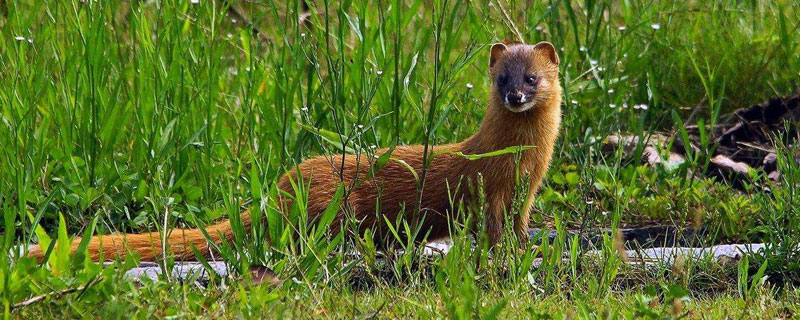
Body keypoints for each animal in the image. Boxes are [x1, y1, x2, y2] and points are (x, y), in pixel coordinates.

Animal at [29, 41, 564, 262]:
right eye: (501, 78)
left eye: (531, 77)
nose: (516, 96)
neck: (523, 158)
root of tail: (283, 187)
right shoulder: (492, 187)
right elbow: (491, 226)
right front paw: (505, 252)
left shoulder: (527, 190)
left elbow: (518, 224)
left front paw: (527, 244)